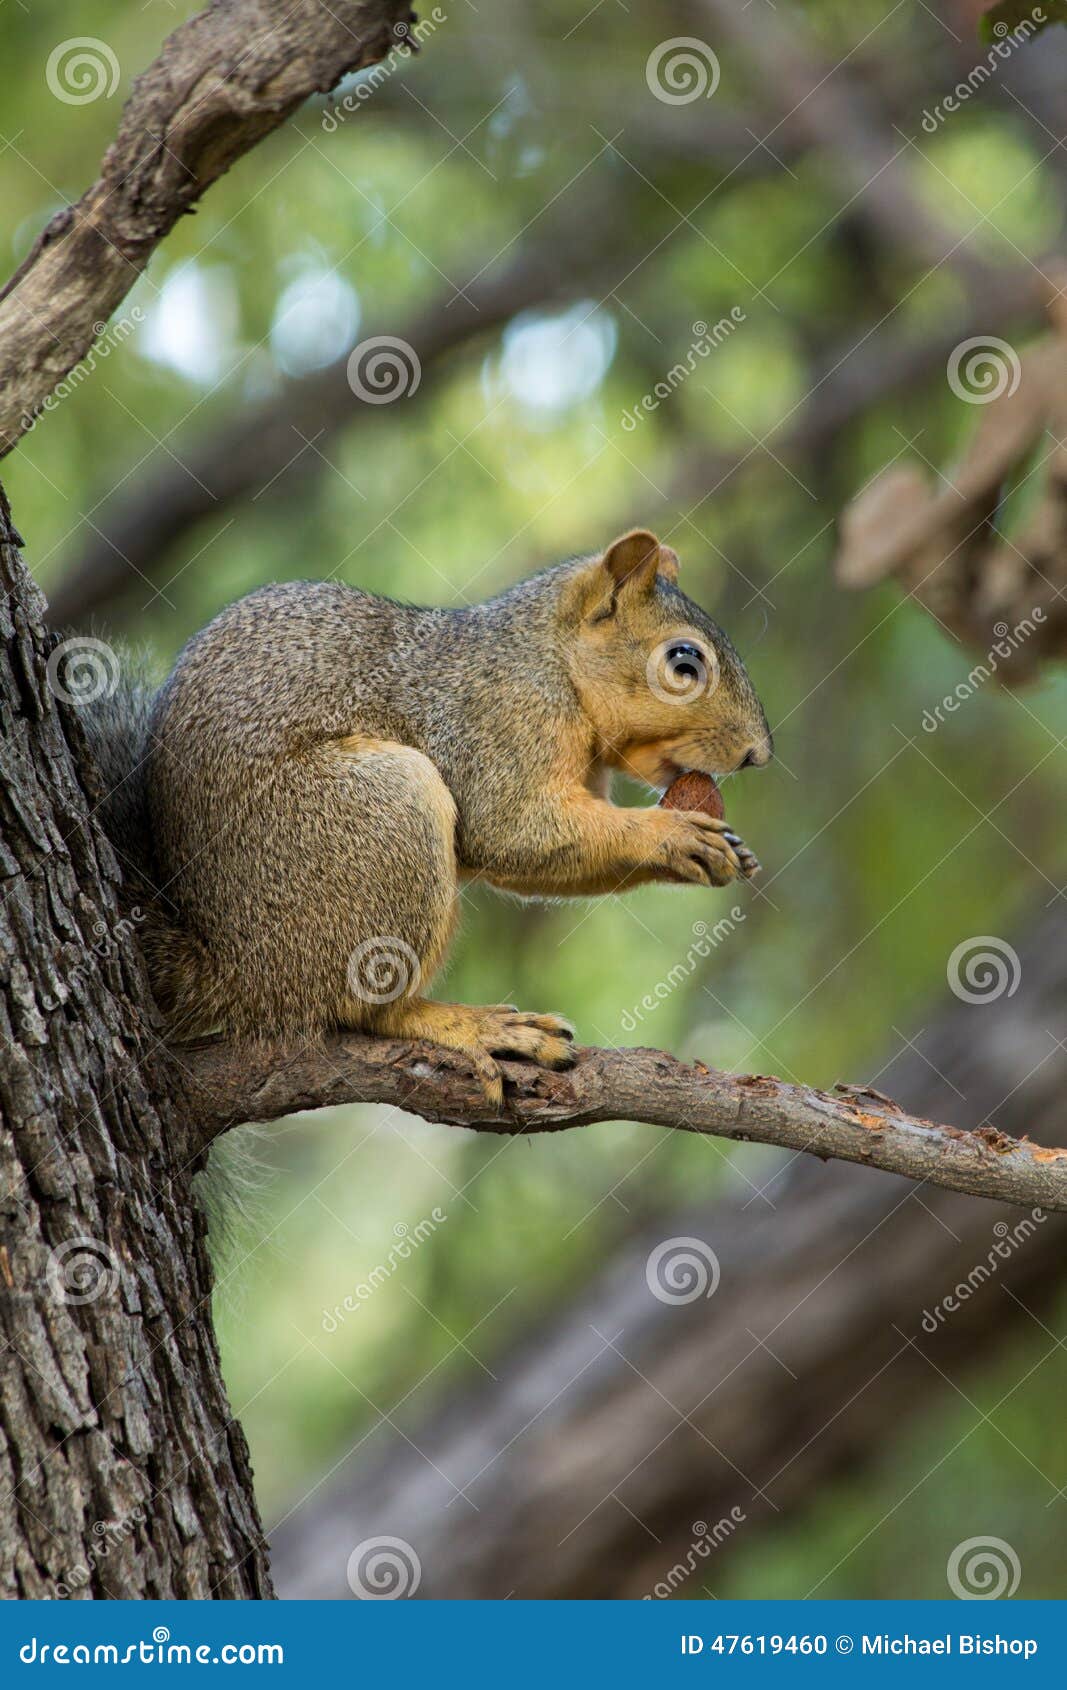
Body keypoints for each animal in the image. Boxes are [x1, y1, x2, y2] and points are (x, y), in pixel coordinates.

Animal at [85, 528, 772, 1104]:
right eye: (683, 662)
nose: (758, 754)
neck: (550, 659)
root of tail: (233, 969)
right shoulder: (496, 721)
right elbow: (513, 830)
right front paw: (670, 835)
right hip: (381, 819)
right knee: (366, 1010)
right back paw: (471, 1025)